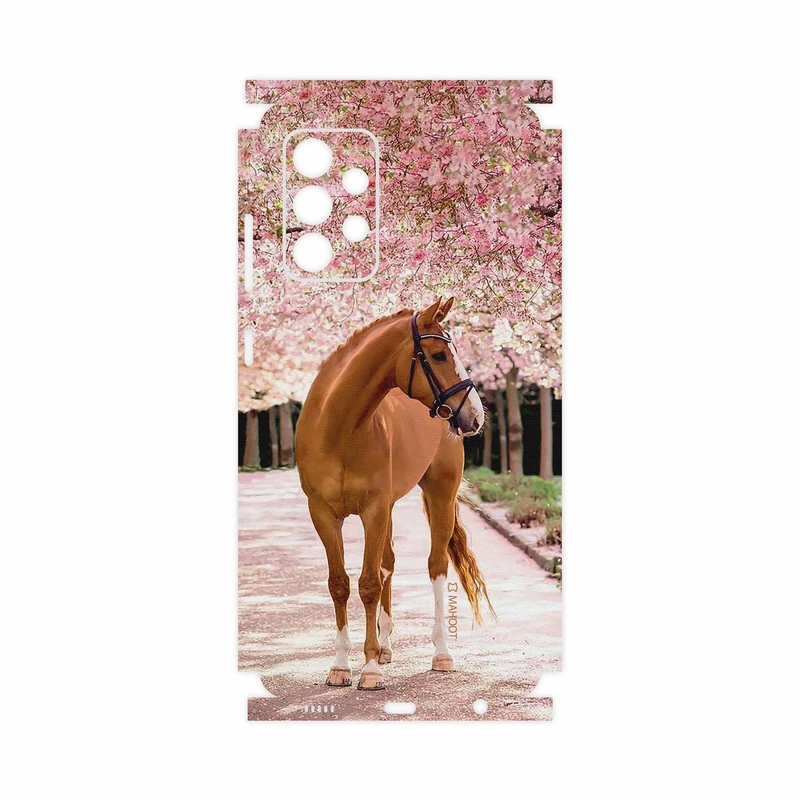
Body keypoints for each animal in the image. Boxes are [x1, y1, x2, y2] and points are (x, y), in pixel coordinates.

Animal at [295, 297, 494, 690]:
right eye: (438, 355)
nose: (476, 416)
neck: (338, 428)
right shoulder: (324, 514)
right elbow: (340, 584)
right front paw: (341, 666)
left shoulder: (373, 510)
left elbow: (369, 584)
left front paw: (369, 669)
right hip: (388, 508)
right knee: (388, 563)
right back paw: (385, 647)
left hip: (439, 494)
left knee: (435, 566)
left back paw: (441, 653)